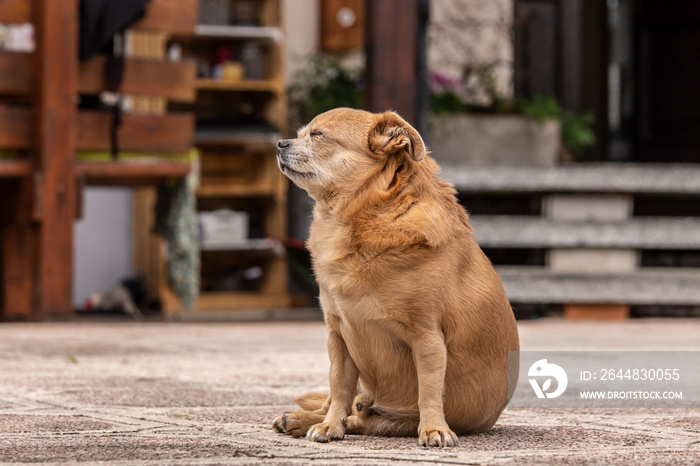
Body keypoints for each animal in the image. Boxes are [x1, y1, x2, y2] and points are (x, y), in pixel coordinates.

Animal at [274, 109, 520, 448]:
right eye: (299, 134)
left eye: (318, 135)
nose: (279, 143)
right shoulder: (338, 338)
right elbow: (338, 386)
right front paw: (329, 425)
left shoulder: (427, 338)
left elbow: (428, 390)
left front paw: (434, 428)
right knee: (340, 401)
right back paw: (303, 419)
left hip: (391, 415)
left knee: (367, 419)